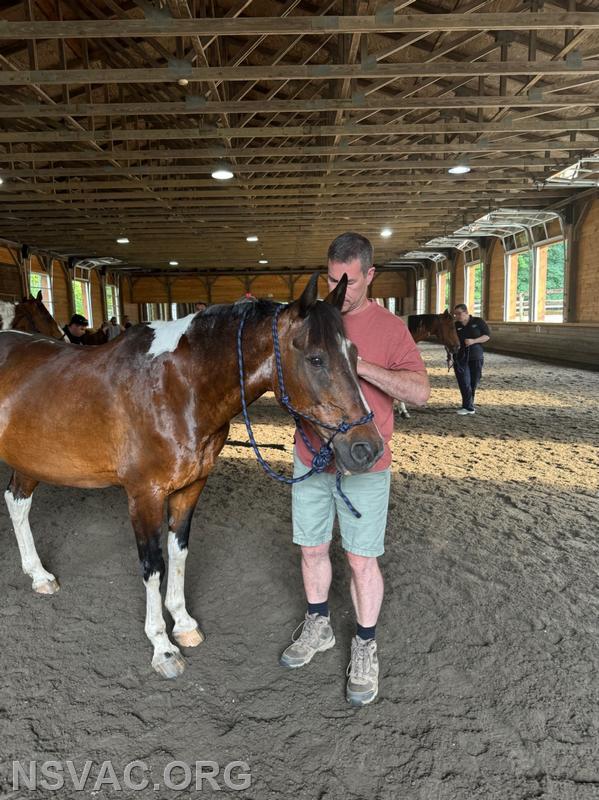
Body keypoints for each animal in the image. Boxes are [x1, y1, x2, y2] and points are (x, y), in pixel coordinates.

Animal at [0, 272, 384, 680]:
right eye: (315, 358)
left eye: (354, 354)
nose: (368, 448)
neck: (178, 388)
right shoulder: (145, 495)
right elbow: (154, 566)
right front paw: (163, 648)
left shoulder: (190, 487)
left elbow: (178, 552)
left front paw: (183, 624)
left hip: (29, 462)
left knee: (17, 501)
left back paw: (39, 576)